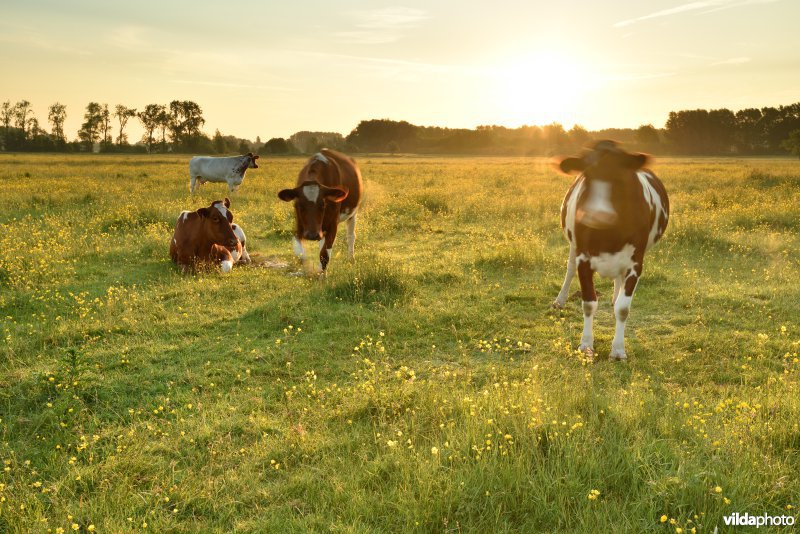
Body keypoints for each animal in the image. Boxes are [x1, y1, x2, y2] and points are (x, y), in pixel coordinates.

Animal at [552, 140, 668, 362]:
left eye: (621, 177)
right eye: (586, 175)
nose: (598, 215)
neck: (608, 235)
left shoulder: (636, 263)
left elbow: (623, 308)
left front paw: (618, 350)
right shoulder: (583, 259)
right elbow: (589, 303)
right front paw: (586, 345)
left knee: (619, 283)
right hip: (573, 246)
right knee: (569, 269)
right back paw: (560, 300)